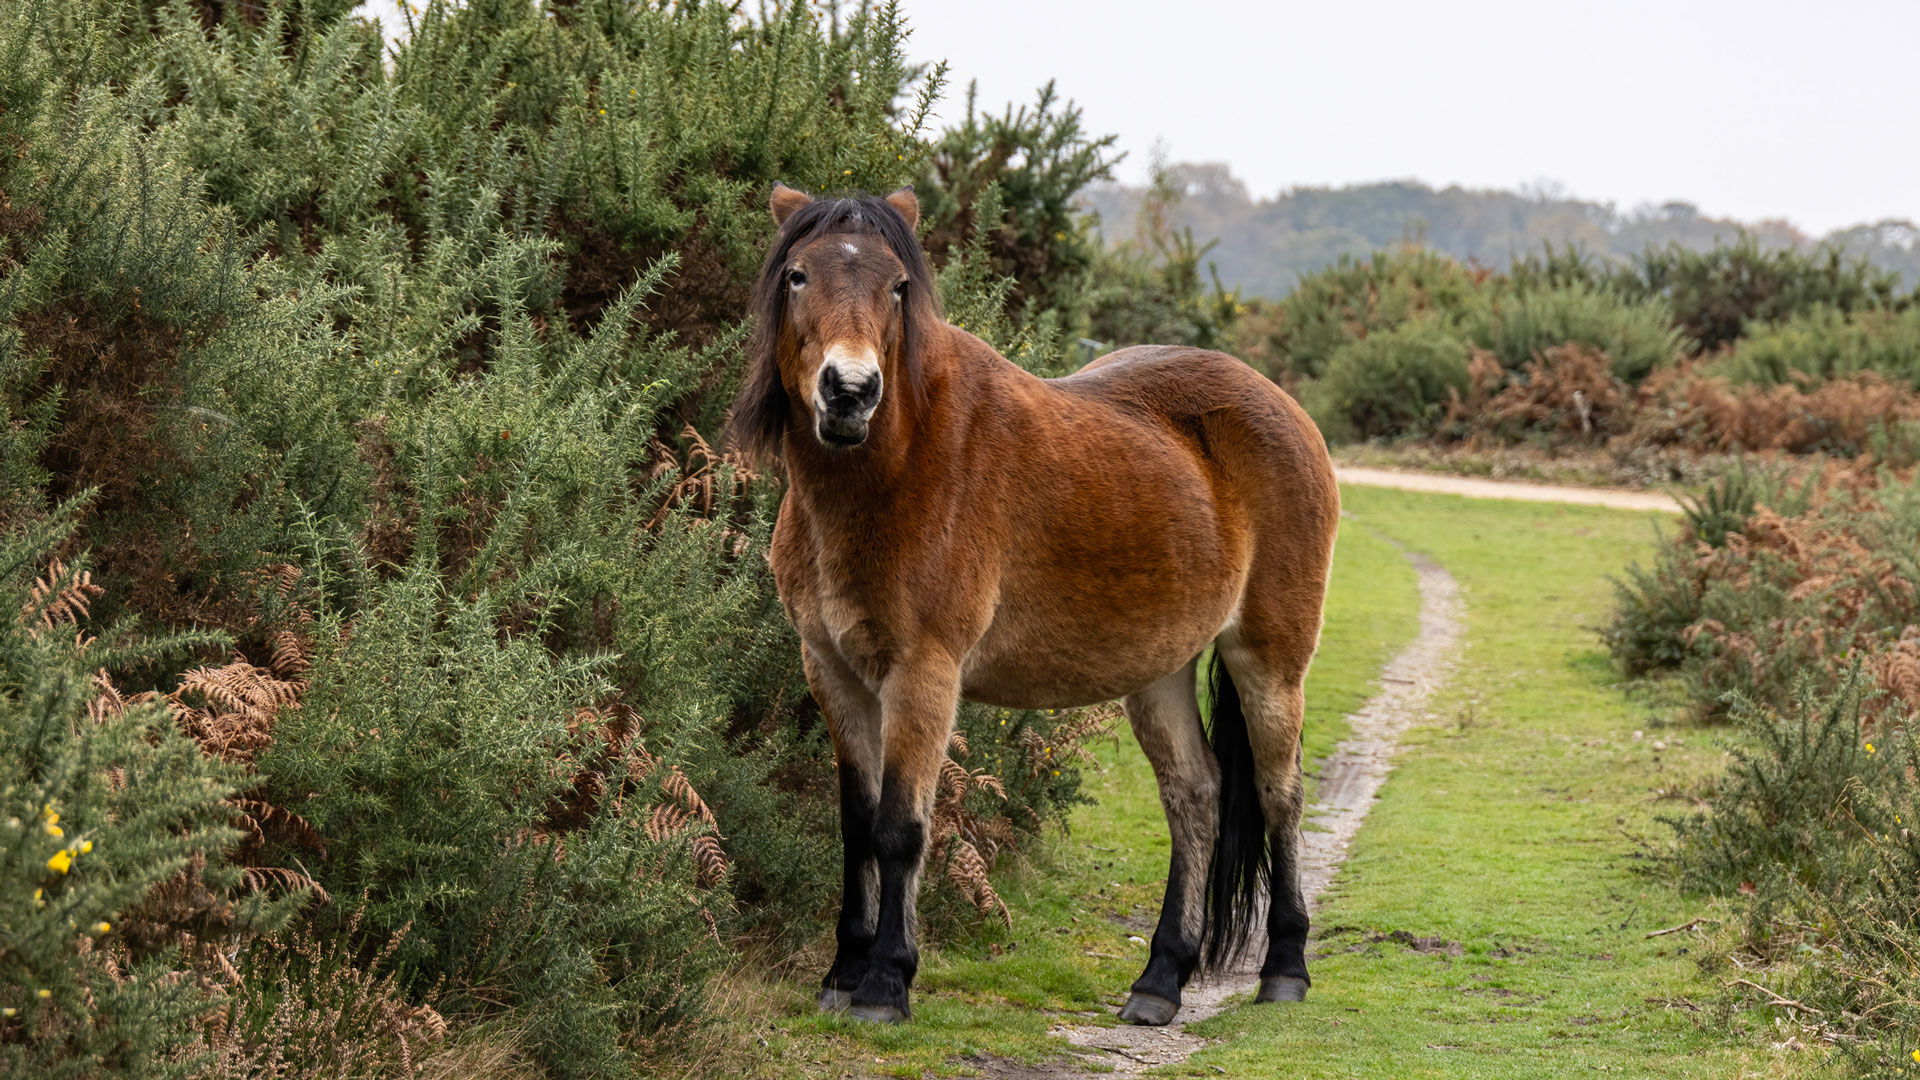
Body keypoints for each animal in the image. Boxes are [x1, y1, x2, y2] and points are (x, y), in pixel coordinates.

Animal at [732, 182, 1340, 1026]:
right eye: (797, 275)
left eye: (897, 286)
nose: (849, 392)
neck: (895, 471)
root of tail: (1287, 409)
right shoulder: (832, 671)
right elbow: (856, 825)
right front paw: (842, 973)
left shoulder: (925, 675)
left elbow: (901, 829)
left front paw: (886, 982)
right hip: (1160, 670)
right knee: (1195, 796)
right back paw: (1160, 979)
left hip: (1271, 661)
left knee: (1281, 797)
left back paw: (1285, 967)